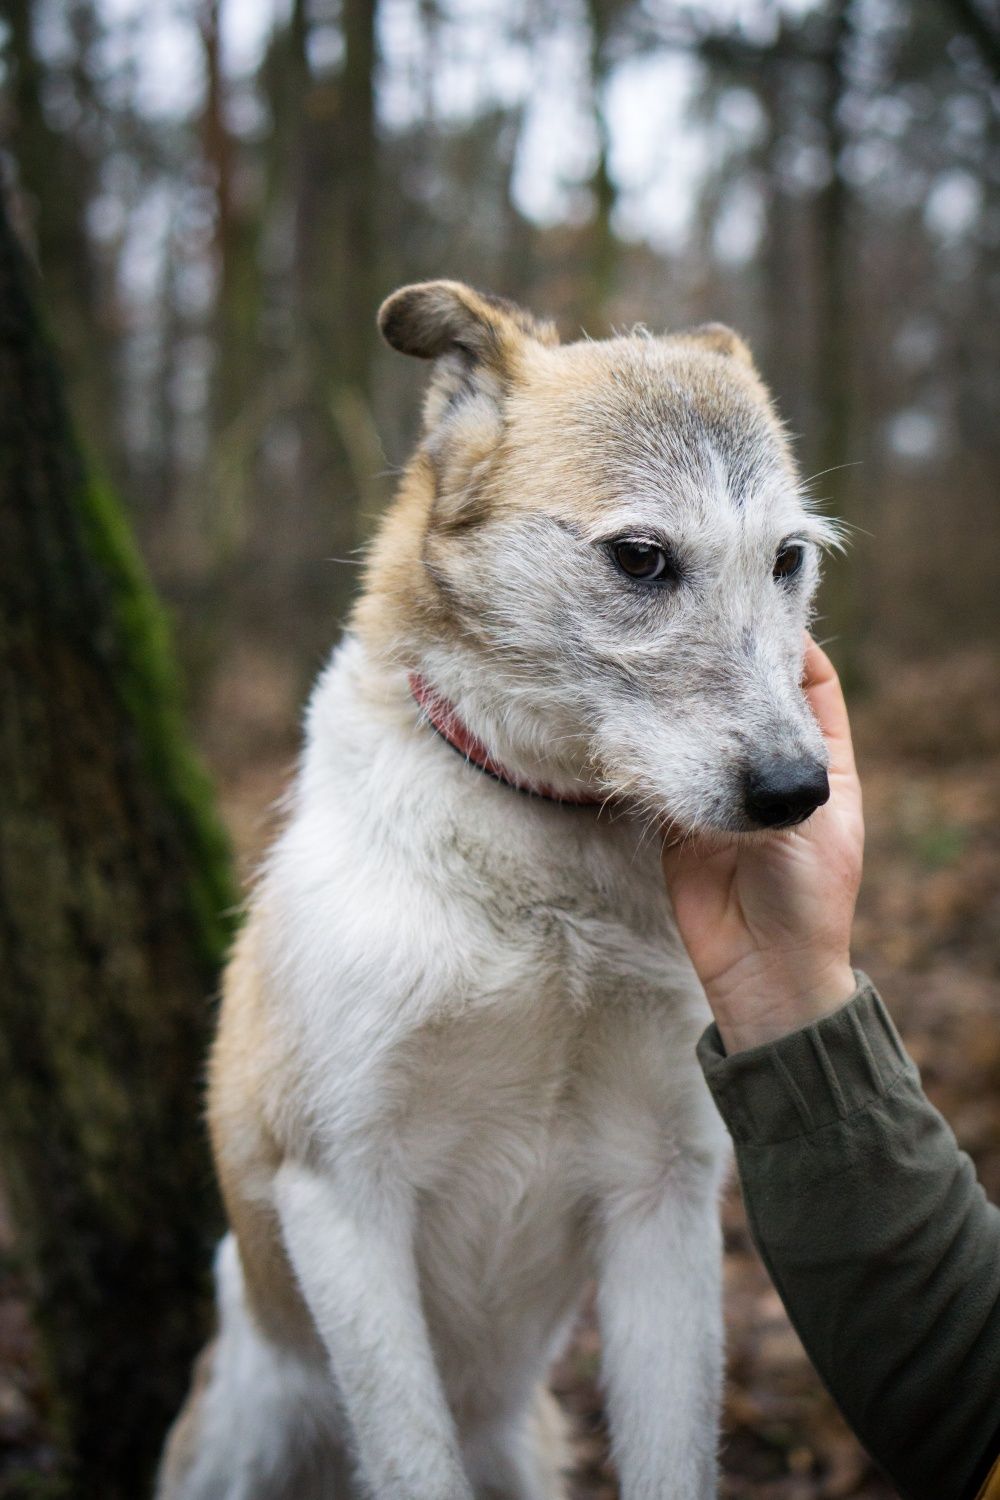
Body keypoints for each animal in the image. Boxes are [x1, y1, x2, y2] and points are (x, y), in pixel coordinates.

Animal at [158, 283, 839, 1500]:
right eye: (640, 558)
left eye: (788, 559)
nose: (797, 792)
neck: (544, 881)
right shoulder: (342, 1190)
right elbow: (410, 1456)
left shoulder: (665, 1191)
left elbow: (670, 1456)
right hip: (247, 1431)